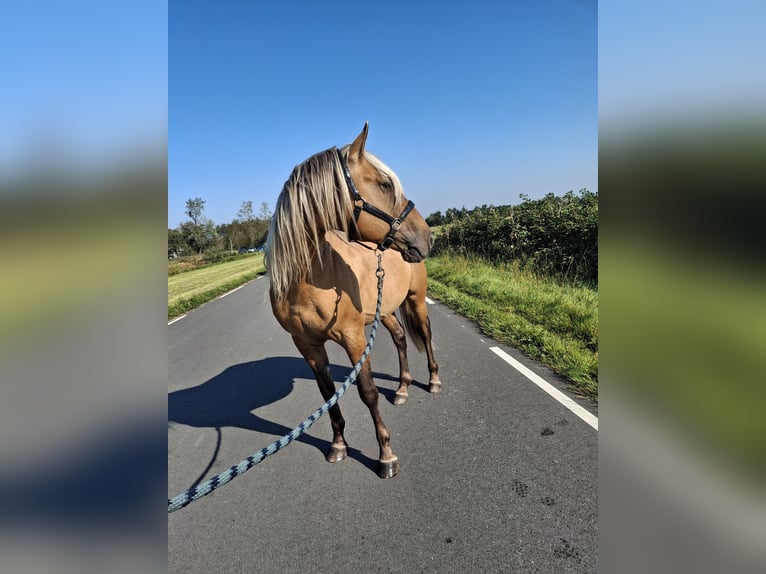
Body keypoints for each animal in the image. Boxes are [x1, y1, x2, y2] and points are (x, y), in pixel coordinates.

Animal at [266, 124, 440, 480]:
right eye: (385, 184)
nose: (427, 237)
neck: (308, 280)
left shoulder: (354, 339)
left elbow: (368, 392)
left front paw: (386, 455)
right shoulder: (308, 346)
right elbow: (328, 395)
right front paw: (338, 445)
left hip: (416, 300)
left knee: (426, 335)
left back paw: (432, 381)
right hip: (384, 312)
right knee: (401, 337)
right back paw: (402, 389)